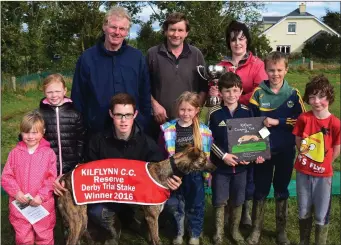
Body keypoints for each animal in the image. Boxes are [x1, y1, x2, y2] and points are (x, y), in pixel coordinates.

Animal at [56, 146, 214, 244]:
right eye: (204, 160)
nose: (216, 167)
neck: (166, 170)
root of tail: (64, 178)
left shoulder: (149, 217)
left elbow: (151, 237)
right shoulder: (152, 216)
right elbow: (156, 238)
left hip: (81, 220)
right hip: (77, 220)